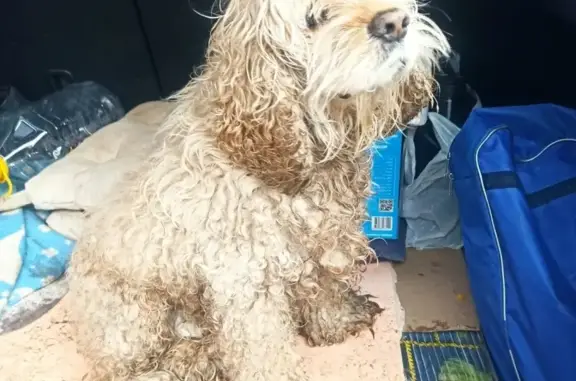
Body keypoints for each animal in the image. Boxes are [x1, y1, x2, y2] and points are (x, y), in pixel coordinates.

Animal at [68, 0, 450, 378]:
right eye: (314, 17)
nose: (396, 23)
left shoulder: (328, 241)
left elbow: (326, 287)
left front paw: (336, 323)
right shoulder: (246, 279)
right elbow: (263, 350)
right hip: (135, 321)